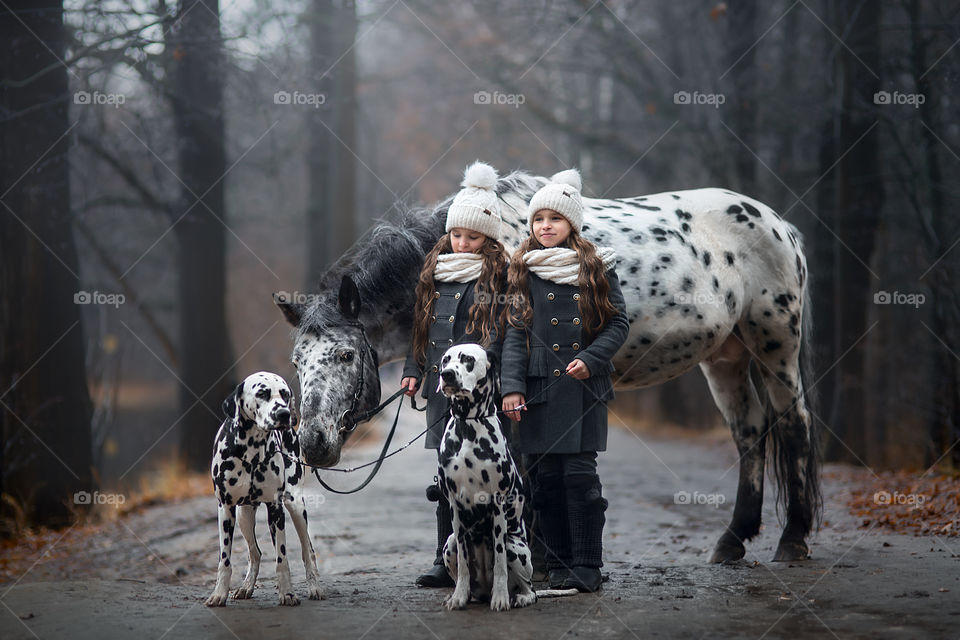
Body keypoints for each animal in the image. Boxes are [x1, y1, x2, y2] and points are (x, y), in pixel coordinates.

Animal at [204, 370, 324, 604]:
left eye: (285, 394)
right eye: (262, 393)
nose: (284, 414)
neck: (251, 452)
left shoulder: (276, 509)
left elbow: (282, 558)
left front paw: (287, 592)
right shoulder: (225, 509)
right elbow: (225, 560)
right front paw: (219, 593)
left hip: (296, 506)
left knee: (308, 550)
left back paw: (315, 586)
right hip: (244, 515)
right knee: (255, 553)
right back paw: (246, 587)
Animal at [276, 171, 816, 564]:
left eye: (347, 355)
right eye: (297, 361)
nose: (313, 442)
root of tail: (780, 225)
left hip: (776, 344)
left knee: (794, 426)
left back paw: (793, 540)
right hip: (726, 357)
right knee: (750, 433)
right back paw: (733, 540)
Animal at [436, 344, 540, 608]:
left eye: (468, 359)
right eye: (445, 360)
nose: (446, 375)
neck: (468, 424)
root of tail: (482, 592)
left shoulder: (497, 505)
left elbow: (500, 561)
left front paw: (500, 597)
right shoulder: (455, 508)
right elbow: (463, 563)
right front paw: (458, 597)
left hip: (516, 546)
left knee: (530, 587)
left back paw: (519, 596)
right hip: (449, 543)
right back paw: (465, 595)